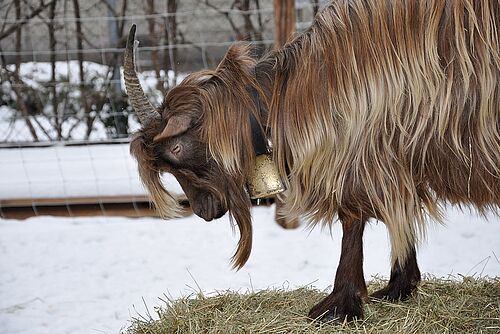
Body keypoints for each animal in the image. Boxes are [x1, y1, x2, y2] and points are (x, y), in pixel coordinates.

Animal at [126, 0, 500, 324]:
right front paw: (398, 287)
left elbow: (354, 219)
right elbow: (399, 213)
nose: (204, 209)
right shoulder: (396, 155)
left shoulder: (363, 147)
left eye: (176, 148)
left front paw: (340, 304)